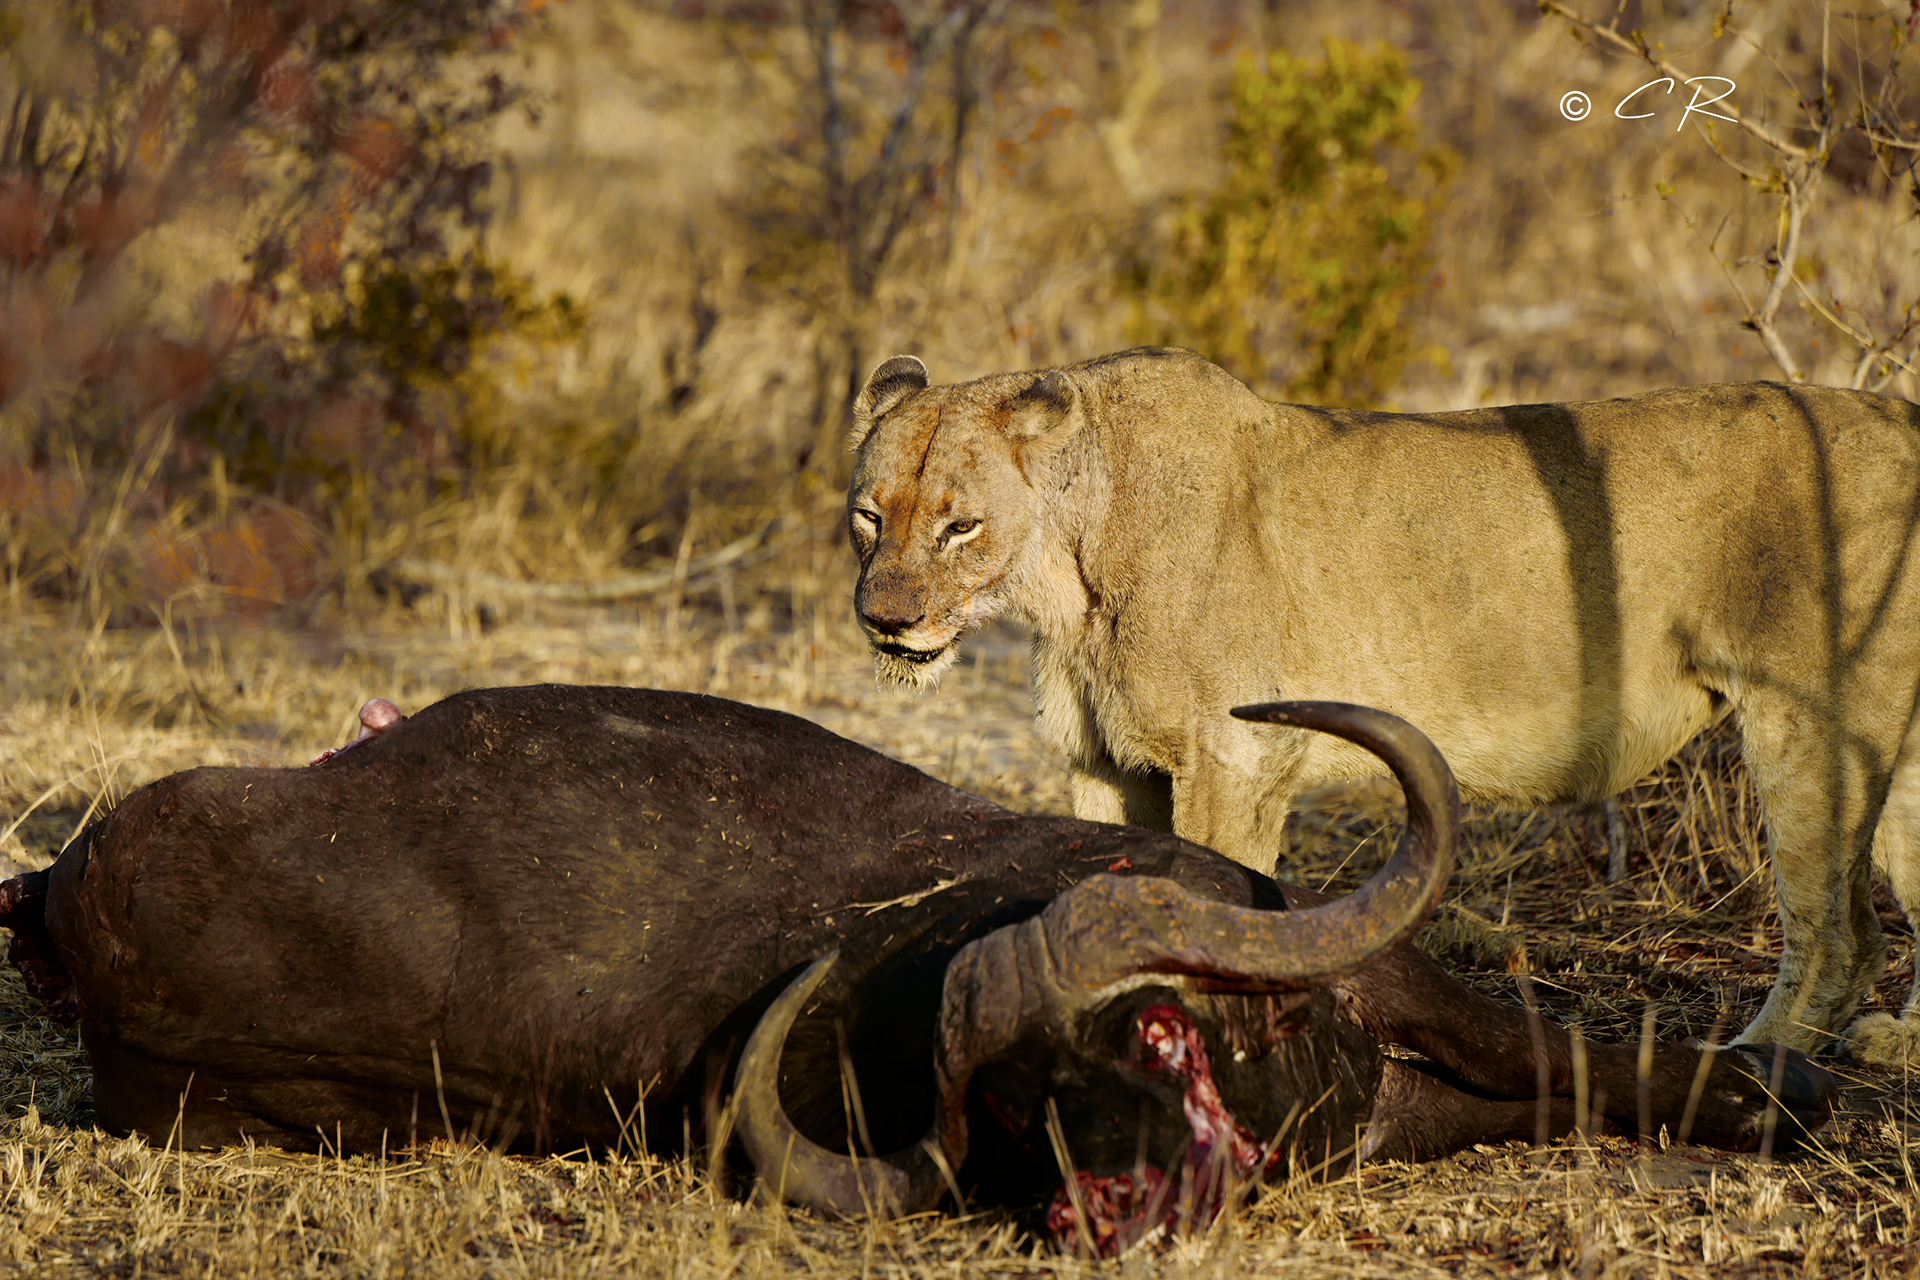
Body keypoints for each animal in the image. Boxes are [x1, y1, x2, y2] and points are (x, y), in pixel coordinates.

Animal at [3, 687, 1827, 1258]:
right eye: (1018, 1107)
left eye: (1158, 1034)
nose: (1113, 1211)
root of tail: (67, 889)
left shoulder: (1398, 1021)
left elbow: (1583, 1063)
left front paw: (1778, 1098)